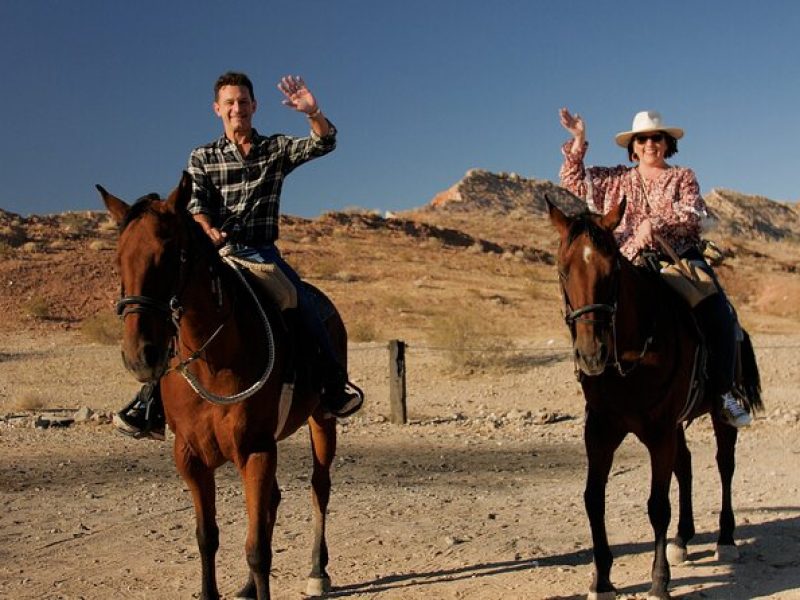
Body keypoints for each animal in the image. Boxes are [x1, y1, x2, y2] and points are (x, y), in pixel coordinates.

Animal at [97, 173, 344, 600]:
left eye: (173, 256)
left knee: (319, 487)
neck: (214, 358)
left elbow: (257, 549)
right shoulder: (190, 457)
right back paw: (247, 586)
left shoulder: (255, 451)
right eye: (118, 260)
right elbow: (206, 536)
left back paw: (318, 571)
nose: (140, 355)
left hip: (321, 420)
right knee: (273, 501)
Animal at [552, 199, 764, 596]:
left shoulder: (660, 432)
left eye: (612, 271)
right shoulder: (600, 431)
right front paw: (602, 581)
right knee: (686, 464)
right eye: (562, 270)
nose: (592, 355)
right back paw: (682, 539)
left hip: (715, 417)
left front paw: (658, 582)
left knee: (724, 465)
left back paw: (725, 539)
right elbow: (593, 499)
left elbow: (657, 505)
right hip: (676, 424)